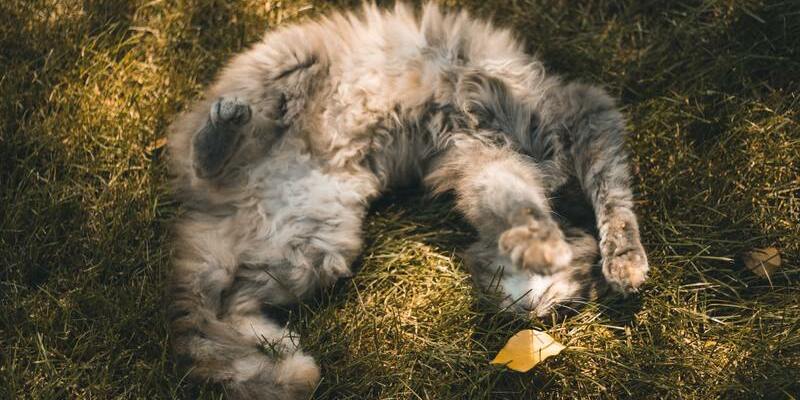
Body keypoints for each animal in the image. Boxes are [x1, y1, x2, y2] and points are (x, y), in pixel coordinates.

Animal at [166, 2, 648, 396]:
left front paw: (546, 246)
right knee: (208, 154)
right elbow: (610, 200)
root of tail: (217, 210)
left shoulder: (486, 165)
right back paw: (227, 125)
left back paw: (277, 345)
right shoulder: (583, 115)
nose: (534, 317)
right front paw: (614, 260)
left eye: (563, 310)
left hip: (312, 249)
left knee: (231, 303)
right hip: (278, 79)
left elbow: (527, 202)